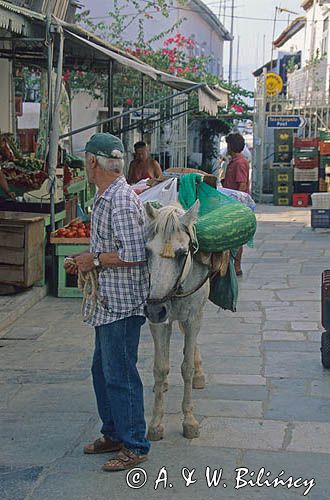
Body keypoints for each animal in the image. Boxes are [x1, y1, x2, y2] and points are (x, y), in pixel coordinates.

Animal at [144, 201, 211, 440]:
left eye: (182, 253)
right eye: (147, 251)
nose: (155, 309)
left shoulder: (194, 318)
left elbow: (187, 367)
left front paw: (189, 421)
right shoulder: (157, 323)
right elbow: (160, 367)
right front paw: (155, 423)